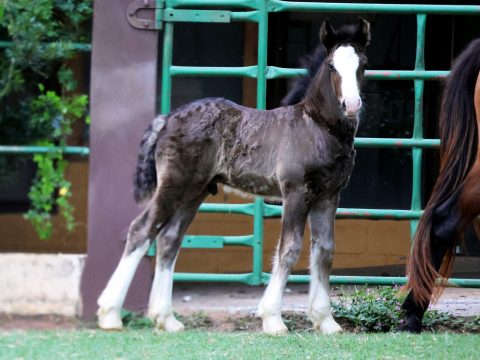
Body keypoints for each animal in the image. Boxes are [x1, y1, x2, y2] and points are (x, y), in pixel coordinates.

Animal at [96, 19, 372, 334]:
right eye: (331, 66)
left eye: (363, 64)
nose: (351, 105)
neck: (317, 126)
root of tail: (167, 118)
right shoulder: (296, 192)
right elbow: (289, 249)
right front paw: (273, 319)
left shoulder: (328, 196)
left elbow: (324, 251)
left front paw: (326, 321)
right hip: (174, 185)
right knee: (141, 230)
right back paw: (110, 314)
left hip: (195, 191)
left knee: (169, 239)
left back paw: (166, 319)